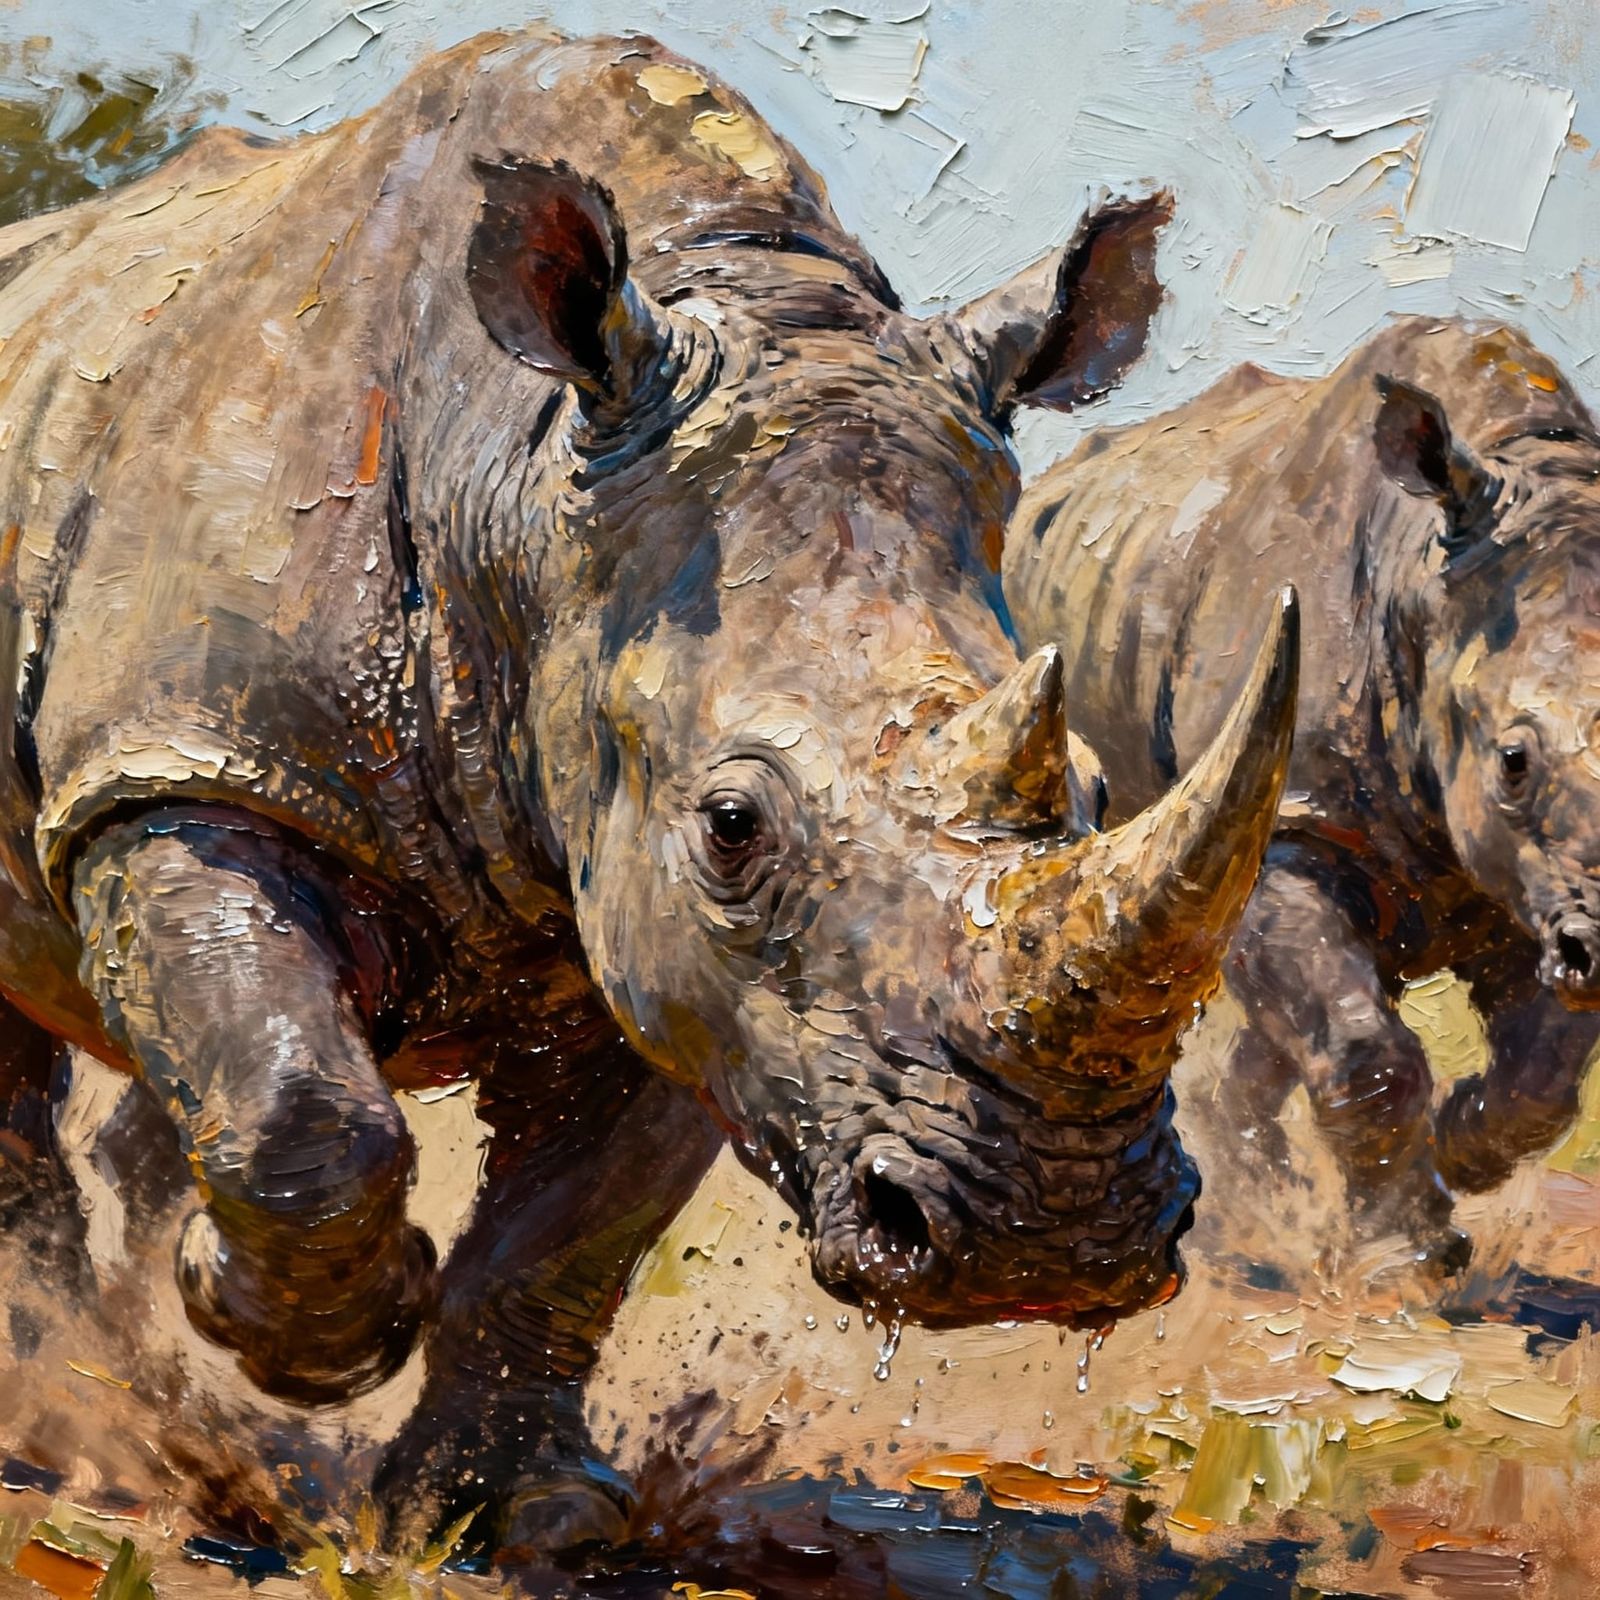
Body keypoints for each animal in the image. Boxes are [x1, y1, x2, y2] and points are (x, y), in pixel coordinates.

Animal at [0, 28, 1297, 1550]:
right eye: (734, 828)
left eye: (1093, 794)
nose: (1048, 1238)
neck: (518, 472)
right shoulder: (186, 763)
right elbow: (296, 1111)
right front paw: (290, 1342)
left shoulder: (676, 951)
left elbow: (577, 1229)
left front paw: (519, 1519)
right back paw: (71, 1415)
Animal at [1006, 315, 1600, 1268]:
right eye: (1513, 761)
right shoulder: (1288, 822)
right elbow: (1363, 1052)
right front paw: (1405, 1262)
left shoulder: (1527, 882)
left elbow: (1546, 1065)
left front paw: (1458, 1151)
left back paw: (1266, 1206)